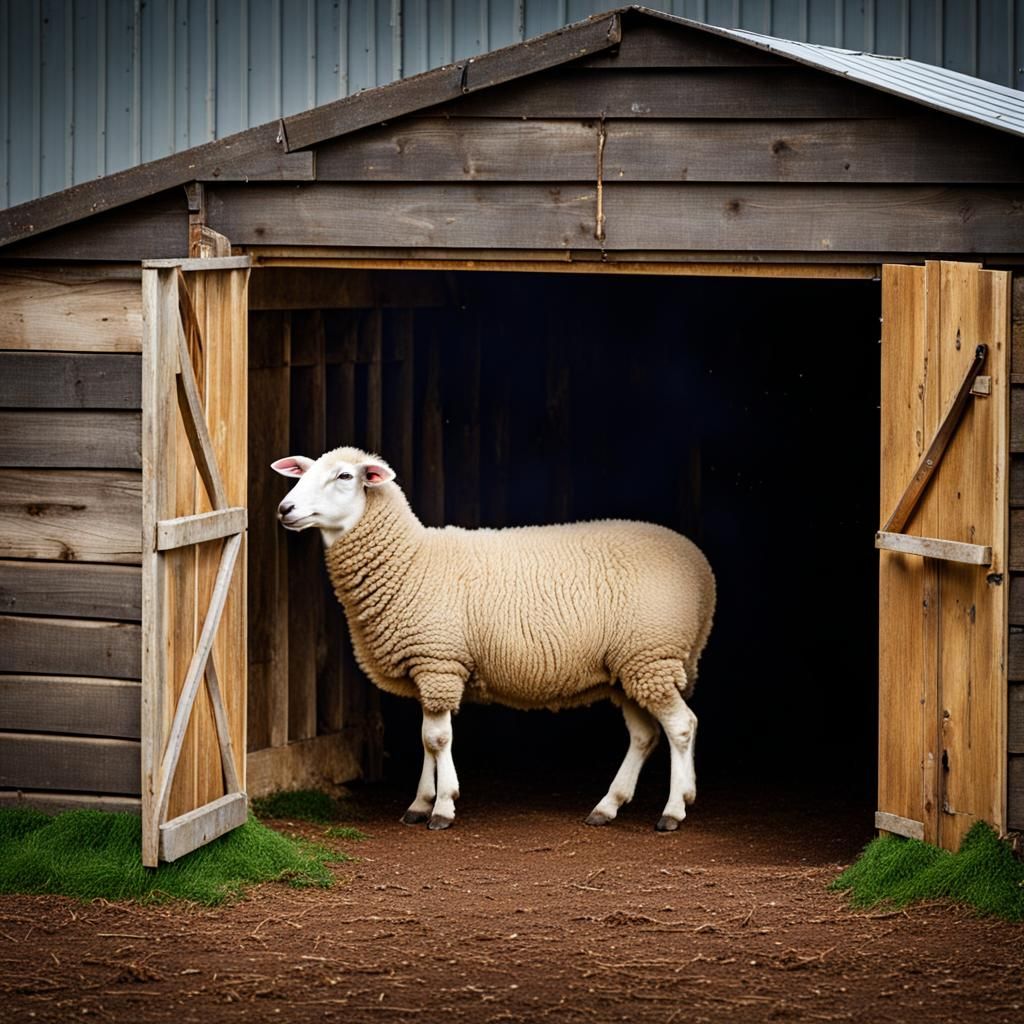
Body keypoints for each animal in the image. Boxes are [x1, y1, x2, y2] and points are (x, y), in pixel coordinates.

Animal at [272, 446, 716, 832]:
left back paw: (672, 811)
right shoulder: (428, 668)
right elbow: (426, 741)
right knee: (646, 735)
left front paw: (443, 807)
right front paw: (420, 803)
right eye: (303, 473)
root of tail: (701, 571)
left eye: (345, 476)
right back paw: (612, 805)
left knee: (681, 726)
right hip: (631, 667)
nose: (284, 509)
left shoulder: (439, 660)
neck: (410, 558)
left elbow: (437, 738)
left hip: (651, 653)